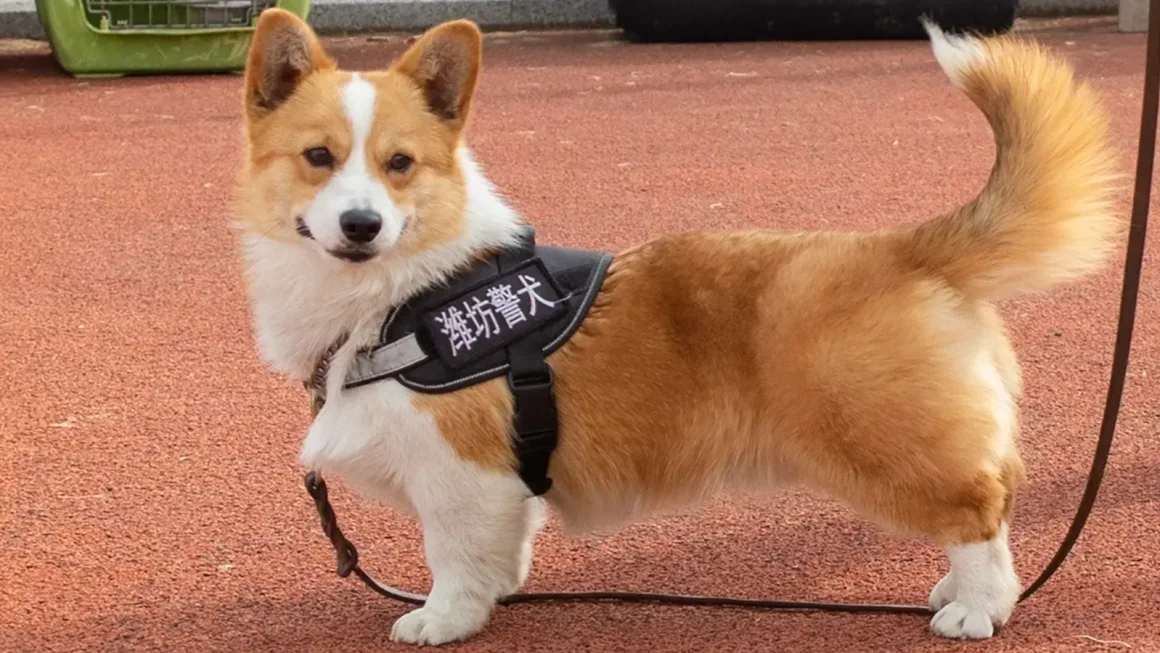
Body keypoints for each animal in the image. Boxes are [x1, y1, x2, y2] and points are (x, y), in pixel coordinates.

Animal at [233, 10, 1122, 649]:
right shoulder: (505, 480)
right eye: (318, 156)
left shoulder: (459, 471)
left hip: (878, 437)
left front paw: (443, 619)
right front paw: (499, 592)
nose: (361, 225)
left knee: (980, 505)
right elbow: (505, 545)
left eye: (400, 164)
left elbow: (450, 557)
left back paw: (976, 608)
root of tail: (906, 246)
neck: (406, 289)